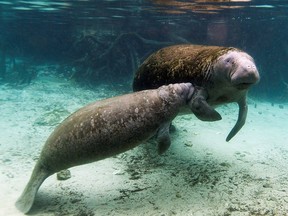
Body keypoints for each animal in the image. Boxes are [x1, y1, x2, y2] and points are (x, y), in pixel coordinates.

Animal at [16, 82, 196, 213]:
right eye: (178, 91)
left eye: (172, 85)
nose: (189, 84)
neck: (164, 98)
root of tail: (41, 166)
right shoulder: (165, 121)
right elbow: (164, 140)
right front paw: (161, 151)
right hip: (44, 166)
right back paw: (22, 205)